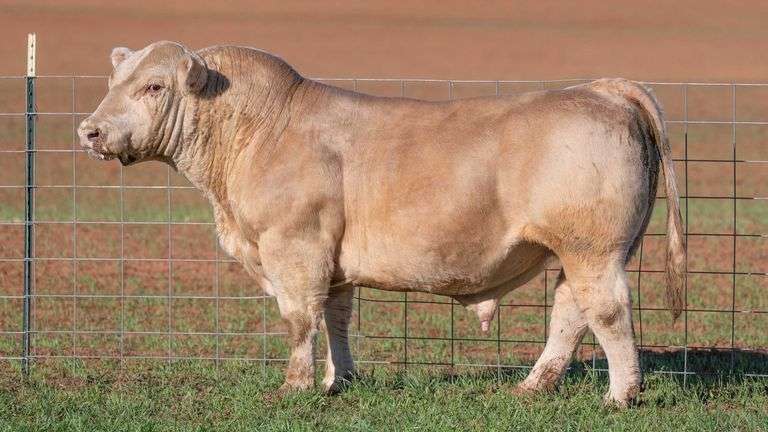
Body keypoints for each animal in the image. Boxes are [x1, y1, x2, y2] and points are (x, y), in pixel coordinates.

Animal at [78, 41, 685, 407]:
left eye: (154, 86)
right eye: (112, 80)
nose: (90, 130)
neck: (259, 131)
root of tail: (598, 89)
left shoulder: (293, 247)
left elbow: (299, 319)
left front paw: (295, 387)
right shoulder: (332, 260)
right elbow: (336, 318)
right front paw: (338, 379)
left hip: (593, 249)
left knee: (607, 313)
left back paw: (621, 396)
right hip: (577, 254)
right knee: (570, 315)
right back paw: (532, 387)